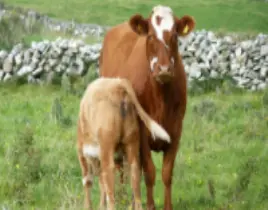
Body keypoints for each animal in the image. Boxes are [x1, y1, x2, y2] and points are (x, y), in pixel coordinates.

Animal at [76, 77, 171, 210]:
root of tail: (118, 84)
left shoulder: (82, 153)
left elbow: (88, 181)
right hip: (132, 143)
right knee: (135, 177)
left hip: (107, 148)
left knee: (110, 184)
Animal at [99, 4, 196, 210]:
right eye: (150, 36)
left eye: (174, 35)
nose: (164, 69)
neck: (161, 98)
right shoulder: (142, 132)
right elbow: (149, 172)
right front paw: (150, 205)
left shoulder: (176, 131)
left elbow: (167, 173)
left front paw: (168, 206)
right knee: (120, 165)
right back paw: (122, 197)